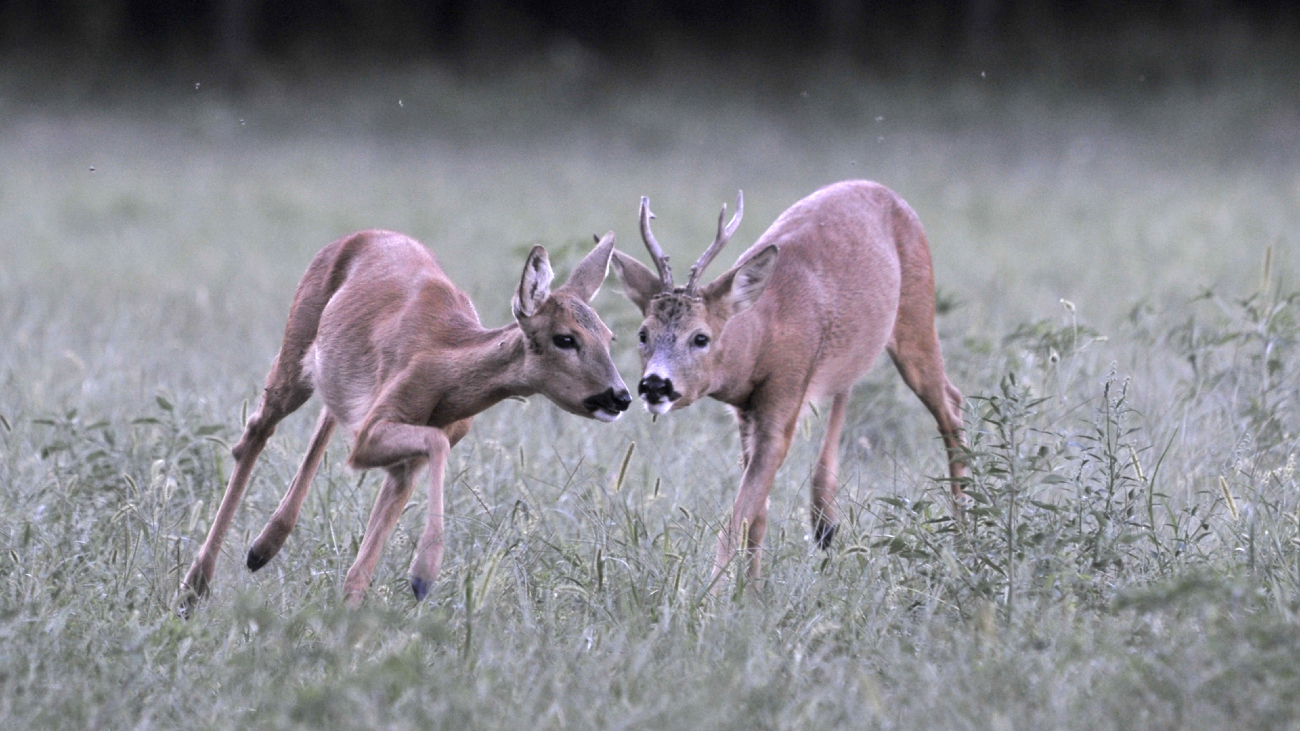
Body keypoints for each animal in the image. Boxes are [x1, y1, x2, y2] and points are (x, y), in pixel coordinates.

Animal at [182, 228, 629, 613]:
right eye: (565, 338)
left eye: (610, 337)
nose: (620, 396)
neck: (445, 369)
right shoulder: (380, 431)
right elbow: (436, 443)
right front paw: (423, 575)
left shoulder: (401, 459)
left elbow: (361, 568)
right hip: (296, 345)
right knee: (255, 431)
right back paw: (195, 585)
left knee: (324, 416)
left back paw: (262, 547)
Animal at [611, 179, 967, 582]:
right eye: (643, 334)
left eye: (700, 337)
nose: (655, 385)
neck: (761, 336)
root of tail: (888, 192)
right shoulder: (745, 412)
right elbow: (756, 520)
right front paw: (750, 590)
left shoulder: (785, 397)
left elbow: (735, 523)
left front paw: (709, 593)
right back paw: (826, 519)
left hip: (916, 314)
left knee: (951, 407)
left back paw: (963, 536)